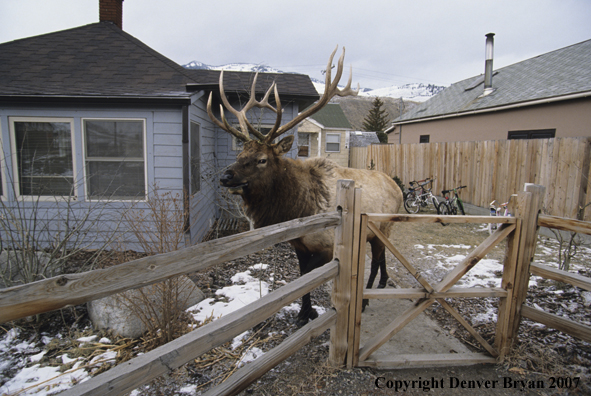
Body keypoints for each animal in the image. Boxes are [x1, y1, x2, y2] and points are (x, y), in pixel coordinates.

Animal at [206, 46, 404, 324]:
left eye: (262, 159)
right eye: (239, 154)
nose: (225, 177)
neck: (297, 209)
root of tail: (399, 189)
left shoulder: (327, 245)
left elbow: (306, 276)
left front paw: (307, 312)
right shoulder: (299, 245)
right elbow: (302, 275)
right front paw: (304, 311)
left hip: (382, 226)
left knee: (375, 260)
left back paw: (365, 300)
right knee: (383, 255)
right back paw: (384, 282)